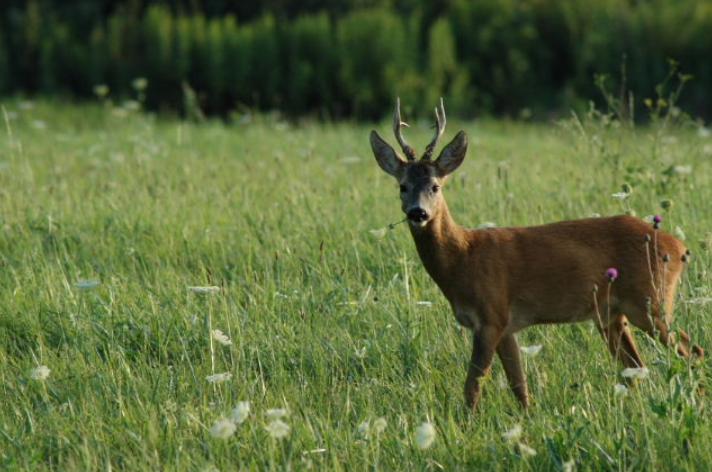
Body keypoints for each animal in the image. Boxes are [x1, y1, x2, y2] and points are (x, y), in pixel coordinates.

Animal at [369, 98, 704, 410]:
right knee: (636, 367)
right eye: (402, 186)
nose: (418, 213)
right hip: (612, 314)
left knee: (690, 350)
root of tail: (678, 247)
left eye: (435, 186)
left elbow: (472, 386)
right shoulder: (505, 326)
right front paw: (526, 420)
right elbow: (519, 385)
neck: (463, 258)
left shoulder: (490, 316)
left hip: (650, 300)